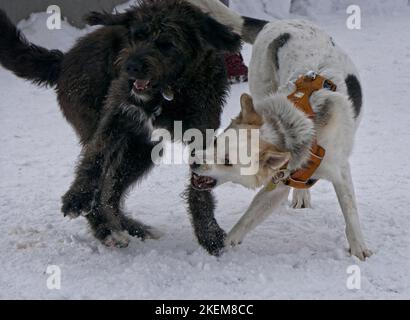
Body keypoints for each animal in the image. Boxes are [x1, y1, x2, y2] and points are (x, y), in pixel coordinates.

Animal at [0, 0, 240, 255]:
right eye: (137, 35)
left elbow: (200, 187)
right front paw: (78, 197)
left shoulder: (202, 132)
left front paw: (209, 234)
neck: (168, 93)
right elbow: (95, 156)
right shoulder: (118, 113)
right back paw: (107, 230)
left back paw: (128, 227)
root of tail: (64, 59)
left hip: (141, 151)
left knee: (110, 191)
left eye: (166, 43)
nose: (130, 67)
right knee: (104, 185)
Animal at [189, 0, 372, 260]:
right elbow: (247, 218)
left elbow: (350, 210)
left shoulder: (340, 171)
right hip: (261, 87)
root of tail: (276, 23)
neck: (290, 129)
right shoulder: (278, 182)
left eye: (227, 161)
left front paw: (359, 248)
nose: (194, 161)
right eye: (215, 142)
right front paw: (223, 245)